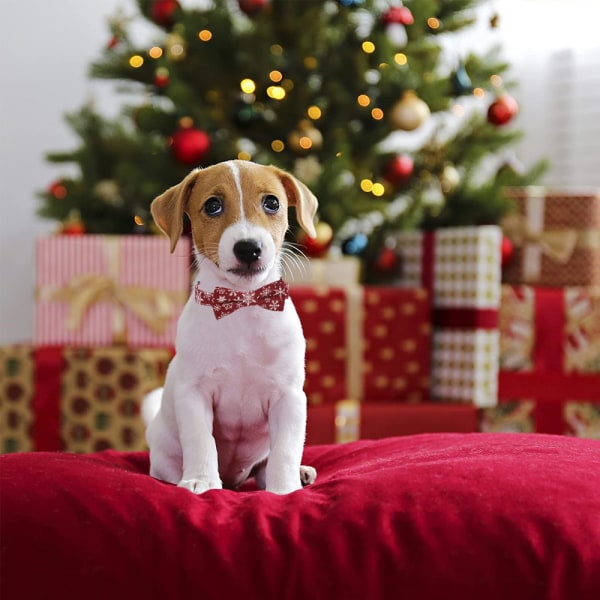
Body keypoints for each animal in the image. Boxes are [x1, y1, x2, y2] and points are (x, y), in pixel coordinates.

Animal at [144, 157, 318, 494]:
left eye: (272, 203)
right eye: (212, 205)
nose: (248, 248)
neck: (242, 305)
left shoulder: (289, 397)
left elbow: (285, 450)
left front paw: (285, 489)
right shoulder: (194, 393)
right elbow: (201, 442)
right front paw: (201, 481)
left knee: (265, 466)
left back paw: (299, 474)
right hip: (163, 452)